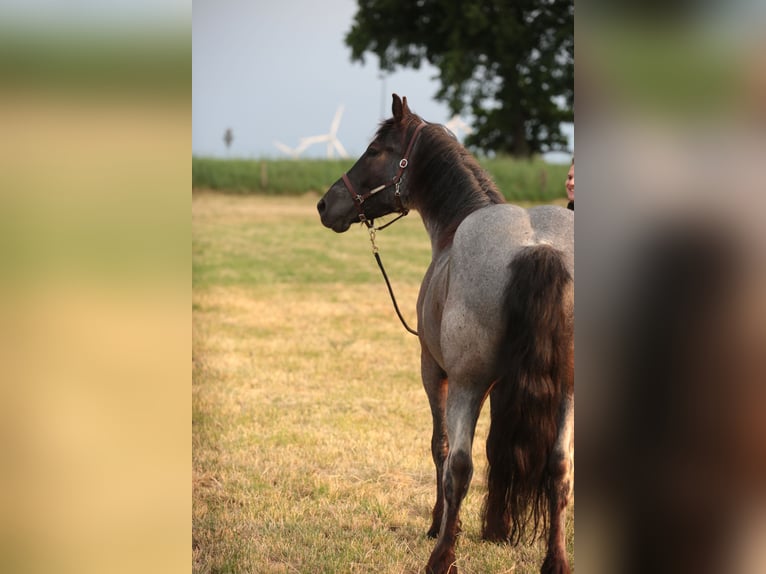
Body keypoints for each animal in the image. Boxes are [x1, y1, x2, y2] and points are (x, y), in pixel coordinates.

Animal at [316, 95, 572, 574]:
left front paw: (439, 524)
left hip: (464, 384)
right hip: (566, 389)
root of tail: (537, 248)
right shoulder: (499, 385)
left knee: (460, 465)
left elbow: (442, 446)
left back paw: (442, 556)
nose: (325, 204)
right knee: (558, 467)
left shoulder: (435, 370)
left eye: (375, 151)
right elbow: (498, 447)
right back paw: (556, 561)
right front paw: (498, 527)